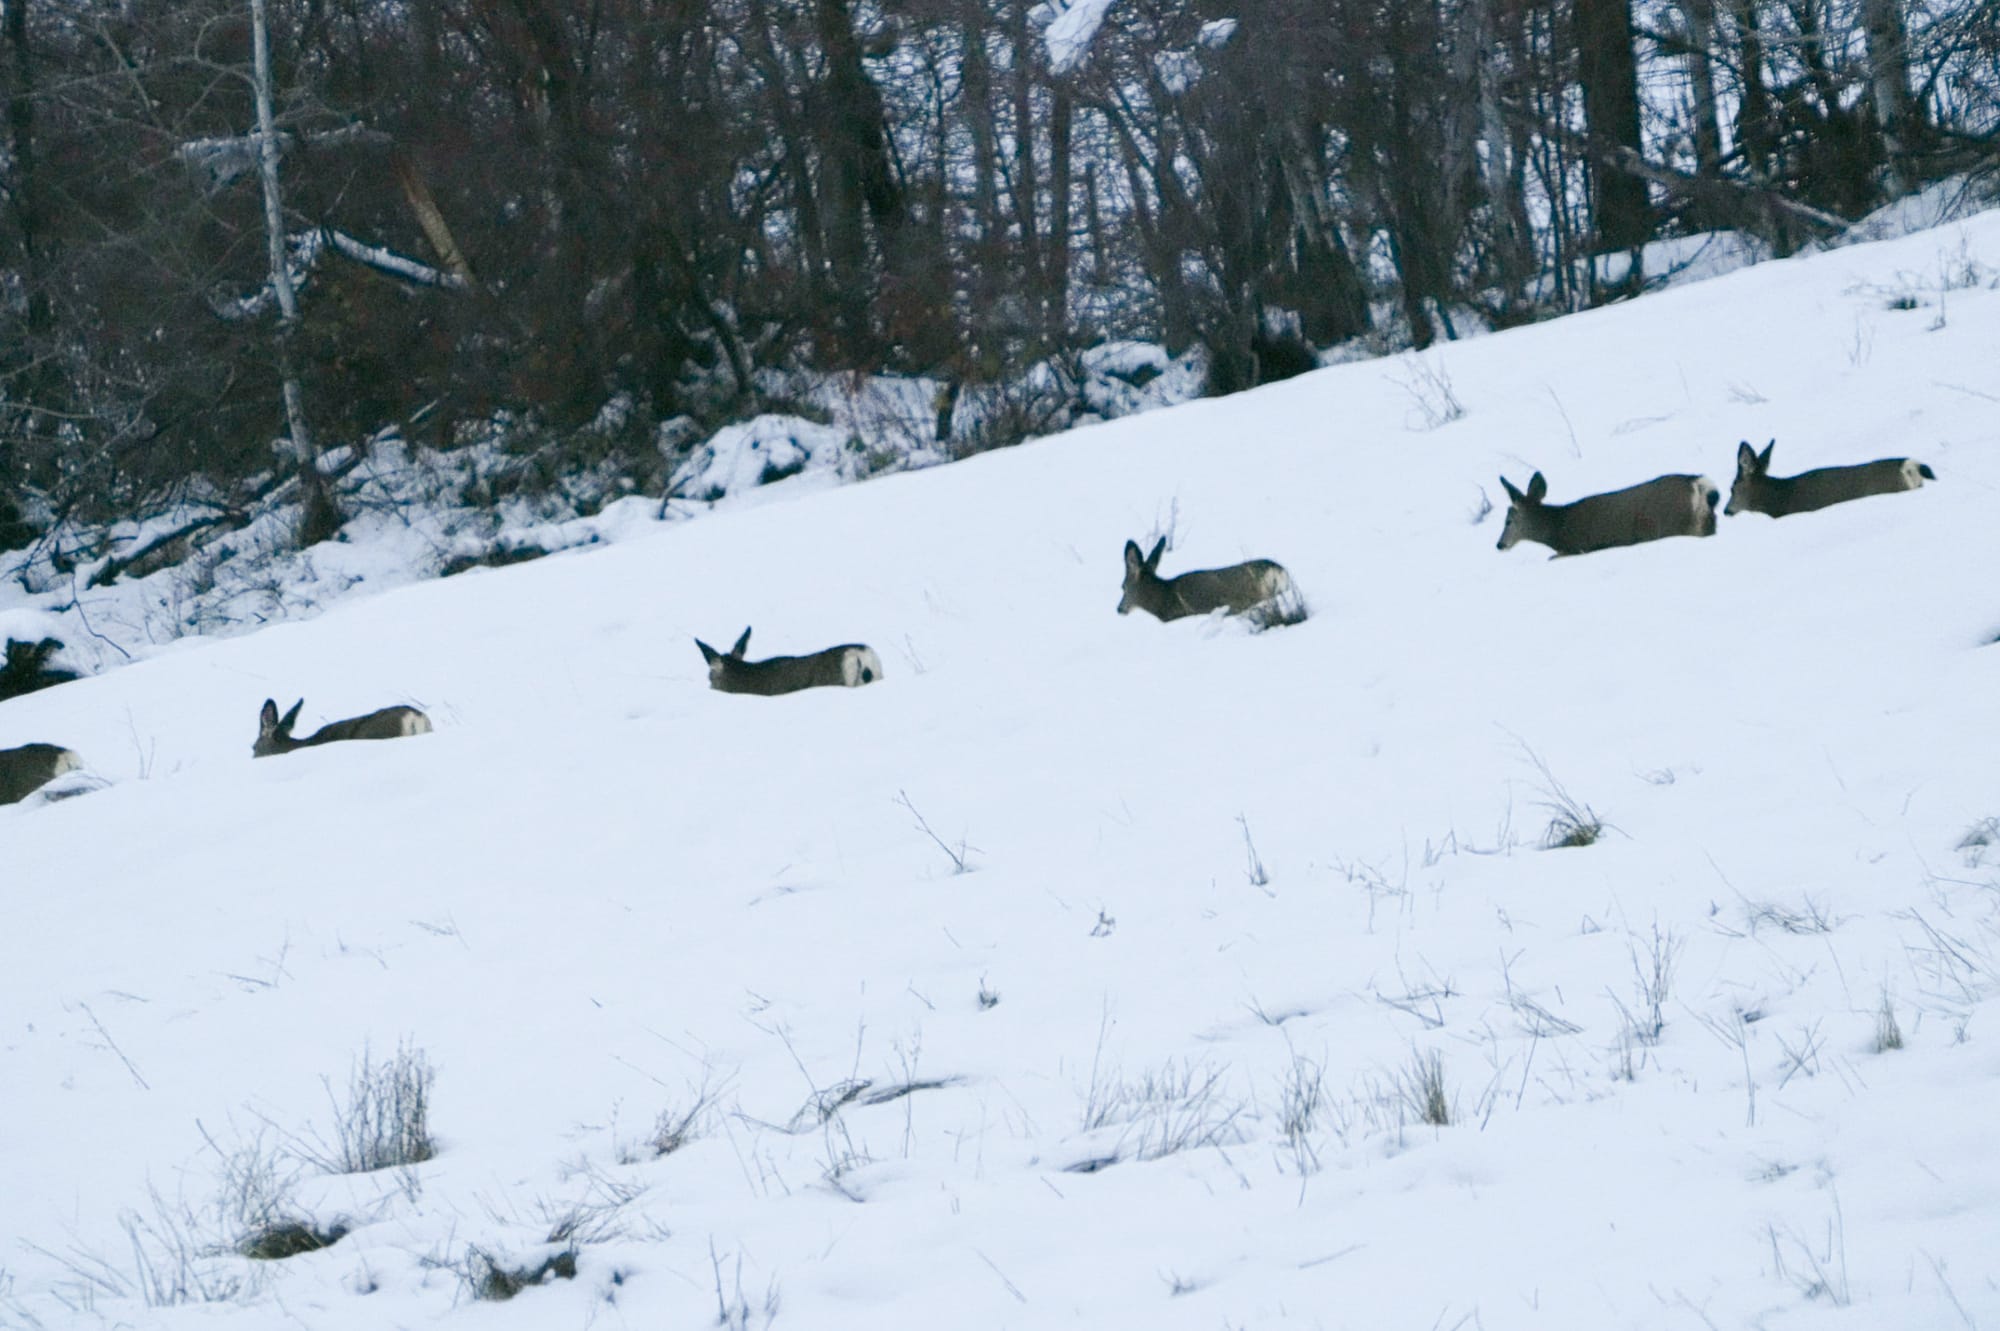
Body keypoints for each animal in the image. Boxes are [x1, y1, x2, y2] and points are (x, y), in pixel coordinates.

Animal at [1504, 465, 1720, 555]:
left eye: (1508, 520)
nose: (1499, 544)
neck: (1559, 529)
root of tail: (1698, 483)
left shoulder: (1579, 547)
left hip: (1671, 524)